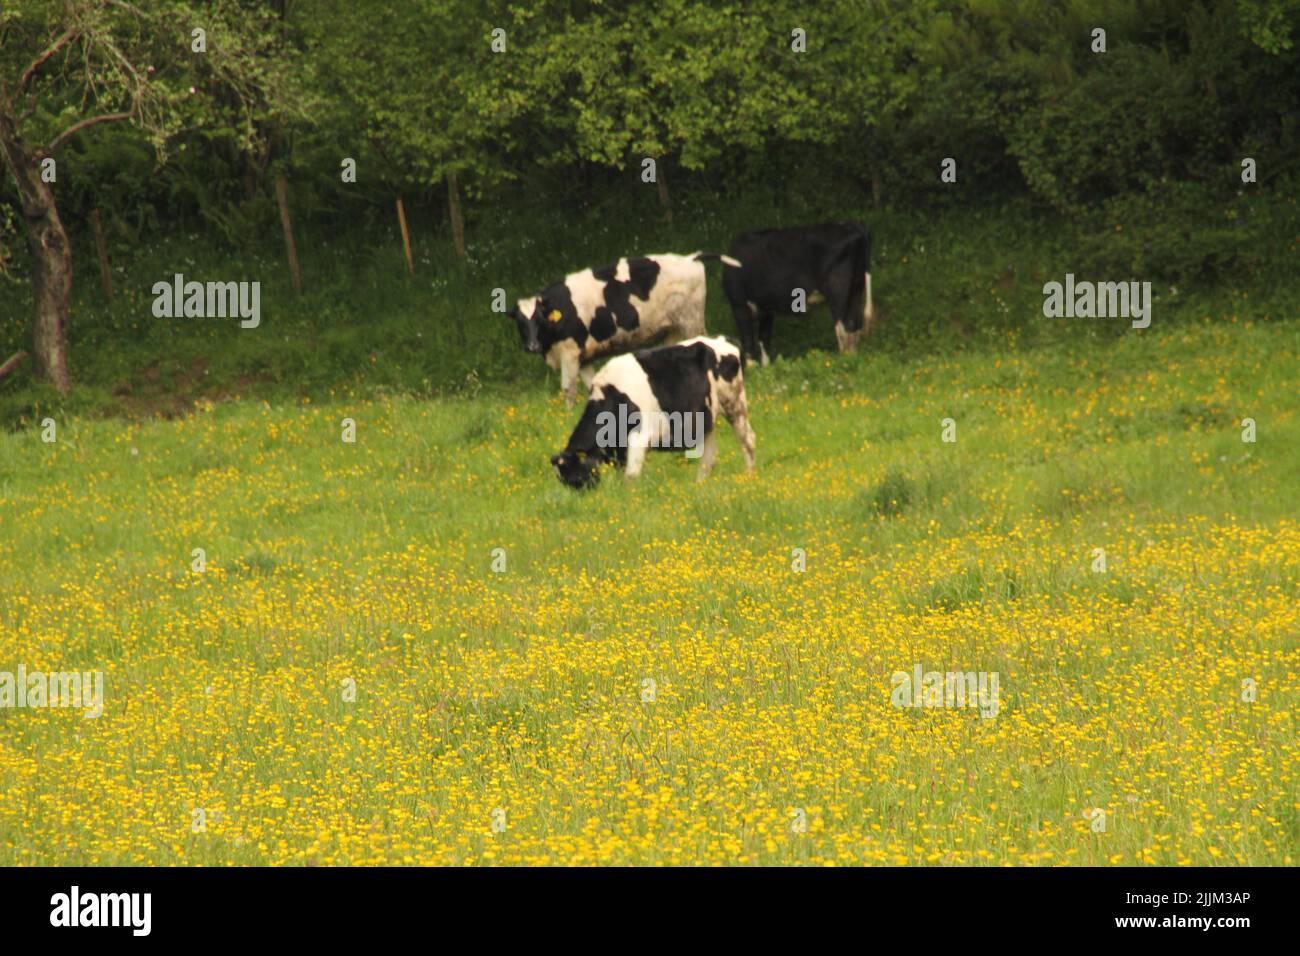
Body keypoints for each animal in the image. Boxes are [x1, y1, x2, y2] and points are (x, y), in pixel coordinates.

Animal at [508, 252, 738, 406]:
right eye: (520, 322)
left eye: (539, 320)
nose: (532, 345)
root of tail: (690, 258)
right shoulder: (584, 357)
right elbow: (592, 385)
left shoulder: (569, 353)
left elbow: (568, 389)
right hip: (672, 332)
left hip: (692, 322)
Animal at [550, 336, 756, 488]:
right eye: (562, 480)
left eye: (576, 478)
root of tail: (724, 340)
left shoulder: (639, 437)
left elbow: (631, 475)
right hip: (706, 420)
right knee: (710, 455)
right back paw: (699, 485)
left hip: (734, 403)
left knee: (747, 440)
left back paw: (749, 477)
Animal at [718, 222, 874, 366]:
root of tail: (851, 225)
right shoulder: (767, 309)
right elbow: (764, 340)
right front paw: (765, 368)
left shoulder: (738, 304)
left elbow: (748, 341)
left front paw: (753, 369)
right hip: (855, 289)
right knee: (853, 326)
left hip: (838, 292)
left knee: (843, 329)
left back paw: (842, 361)